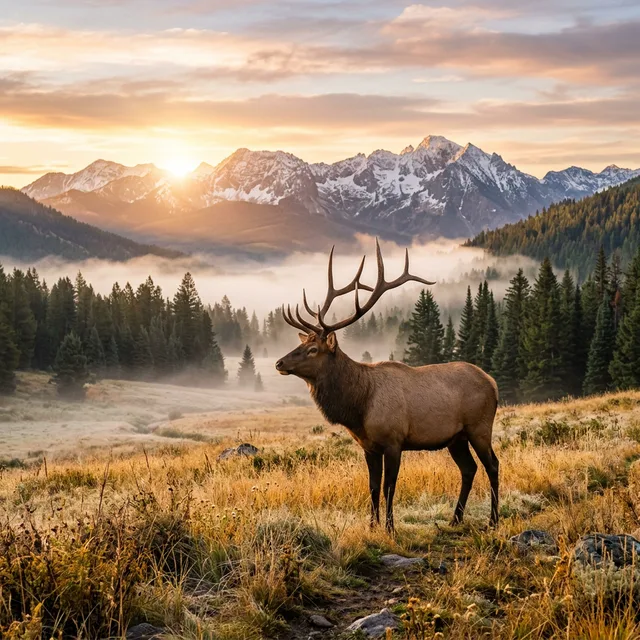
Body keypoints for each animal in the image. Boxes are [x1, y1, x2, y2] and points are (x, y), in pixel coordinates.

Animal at [275, 239, 500, 533]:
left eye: (313, 349)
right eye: (301, 344)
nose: (279, 362)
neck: (359, 407)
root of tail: (492, 383)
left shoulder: (394, 440)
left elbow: (388, 487)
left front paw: (390, 528)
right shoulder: (368, 446)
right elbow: (372, 486)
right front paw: (372, 525)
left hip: (479, 427)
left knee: (493, 465)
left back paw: (493, 520)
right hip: (456, 437)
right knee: (469, 469)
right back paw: (455, 518)